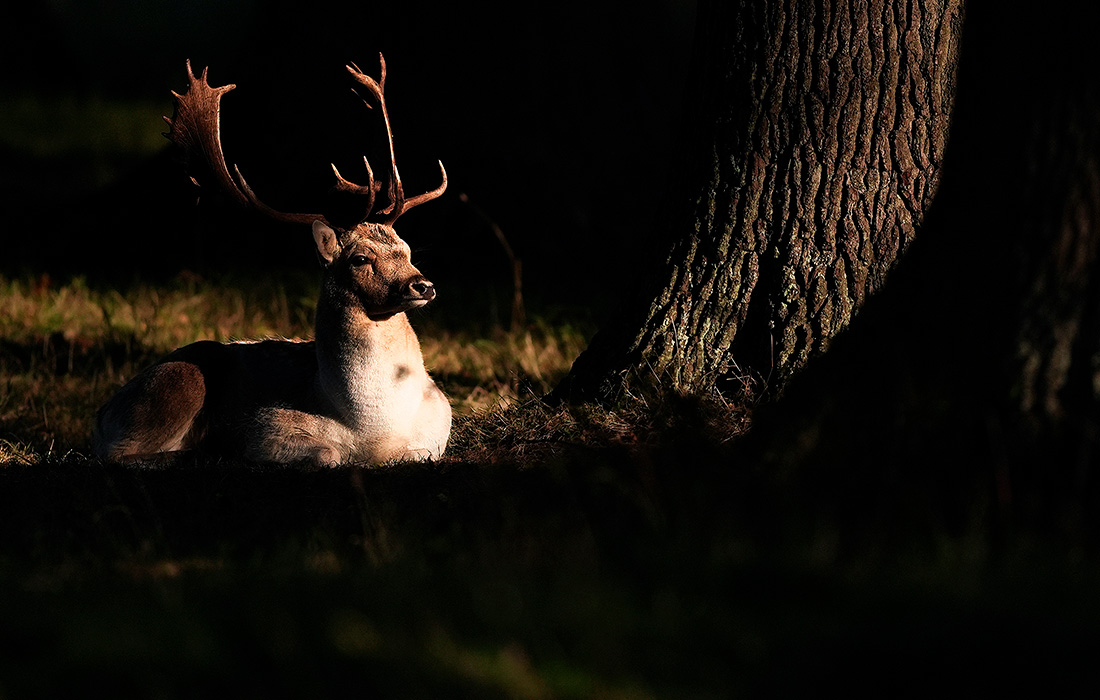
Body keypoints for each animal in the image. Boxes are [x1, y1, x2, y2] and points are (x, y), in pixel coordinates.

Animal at [93, 57, 451, 466]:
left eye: (406, 249)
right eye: (361, 258)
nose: (423, 285)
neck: (374, 427)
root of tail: (100, 413)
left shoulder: (437, 431)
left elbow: (416, 453)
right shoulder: (266, 428)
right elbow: (327, 454)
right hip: (176, 383)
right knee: (118, 452)